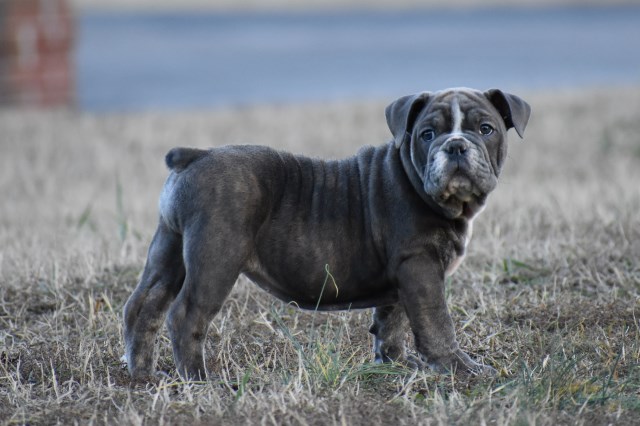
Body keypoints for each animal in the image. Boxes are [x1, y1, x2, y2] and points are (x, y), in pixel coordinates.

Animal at [124, 86, 528, 380]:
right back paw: (200, 380)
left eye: (486, 129)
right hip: (216, 256)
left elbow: (392, 320)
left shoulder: (403, 275)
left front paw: (394, 363)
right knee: (186, 315)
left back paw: (144, 375)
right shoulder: (420, 266)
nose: (456, 145)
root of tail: (197, 155)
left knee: (145, 305)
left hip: (169, 248)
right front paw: (461, 368)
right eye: (427, 134)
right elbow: (435, 322)